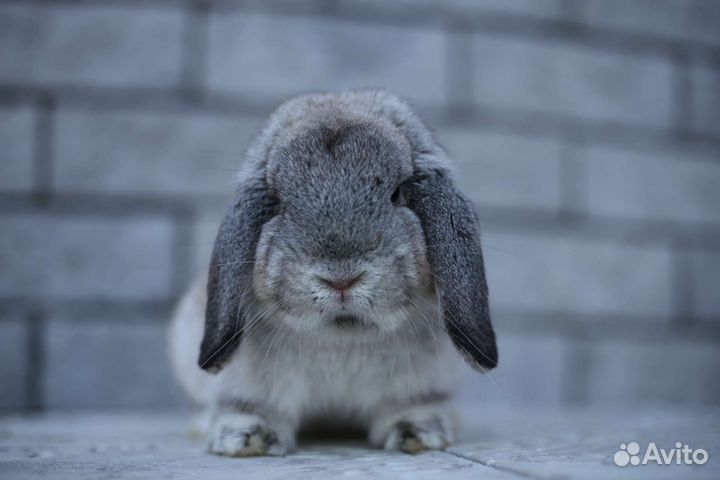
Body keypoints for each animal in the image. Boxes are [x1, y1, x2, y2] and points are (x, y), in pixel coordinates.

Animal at [169, 90, 497, 457]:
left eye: (397, 193)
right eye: (278, 202)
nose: (341, 279)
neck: (342, 338)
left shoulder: (417, 385)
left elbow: (409, 406)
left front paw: (419, 433)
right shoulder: (250, 386)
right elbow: (251, 408)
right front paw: (247, 439)